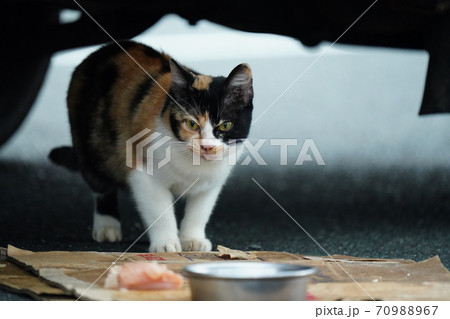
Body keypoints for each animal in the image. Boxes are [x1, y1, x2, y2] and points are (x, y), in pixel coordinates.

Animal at [50, 41, 253, 254]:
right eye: (191, 124)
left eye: (225, 125)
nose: (207, 147)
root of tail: (98, 52)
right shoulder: (143, 174)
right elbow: (159, 210)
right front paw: (166, 243)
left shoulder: (212, 182)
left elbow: (200, 210)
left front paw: (193, 239)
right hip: (92, 146)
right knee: (99, 183)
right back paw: (107, 225)